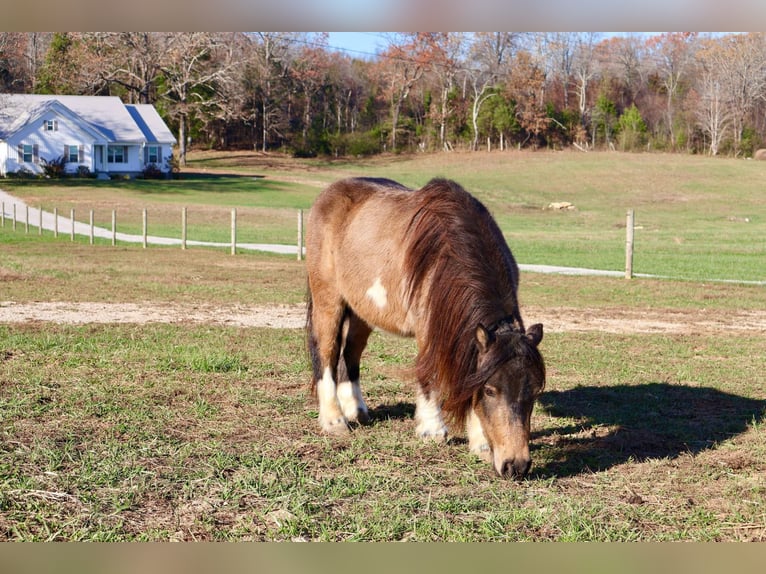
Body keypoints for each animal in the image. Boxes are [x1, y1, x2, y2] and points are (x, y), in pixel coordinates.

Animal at [306, 177, 544, 482]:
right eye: (490, 391)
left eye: (535, 392)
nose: (516, 465)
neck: (447, 250)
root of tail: (330, 192)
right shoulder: (428, 331)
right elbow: (430, 376)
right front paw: (432, 429)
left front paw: (479, 442)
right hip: (328, 299)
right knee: (326, 351)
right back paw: (334, 420)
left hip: (362, 310)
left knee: (351, 352)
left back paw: (357, 411)